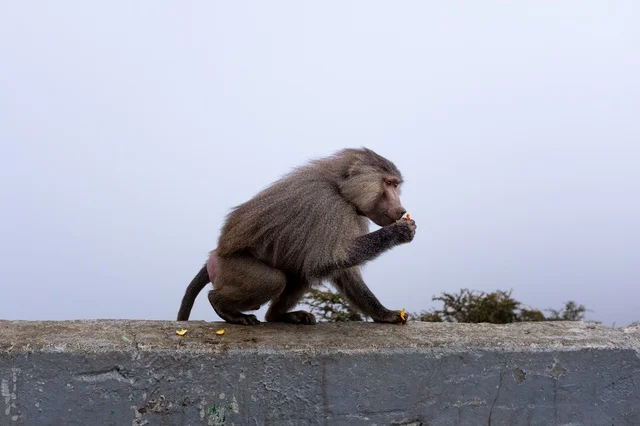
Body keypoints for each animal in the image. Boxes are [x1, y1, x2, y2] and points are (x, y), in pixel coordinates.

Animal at [177, 147, 417, 326]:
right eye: (388, 183)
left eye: (396, 185)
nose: (401, 210)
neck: (341, 188)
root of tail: (216, 252)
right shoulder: (329, 208)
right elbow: (323, 261)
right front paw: (398, 232)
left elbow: (341, 271)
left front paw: (384, 314)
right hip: (231, 268)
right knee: (274, 280)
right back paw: (223, 307)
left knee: (300, 274)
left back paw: (279, 316)